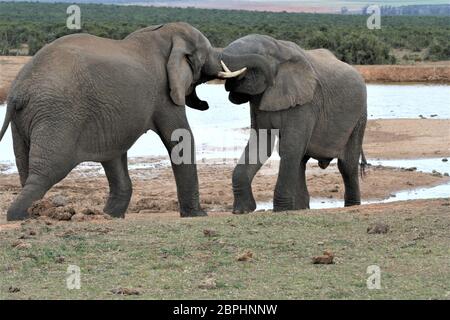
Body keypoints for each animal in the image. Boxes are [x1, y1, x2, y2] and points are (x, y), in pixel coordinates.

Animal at [0, 21, 244, 220]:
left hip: (25, 120)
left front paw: (111, 216)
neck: (165, 34)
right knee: (47, 171)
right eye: (208, 51)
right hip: (58, 115)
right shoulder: (163, 93)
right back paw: (21, 216)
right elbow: (180, 136)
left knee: (24, 166)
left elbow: (114, 154)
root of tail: (18, 91)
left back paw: (36, 212)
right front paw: (197, 215)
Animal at [219, 34, 370, 212]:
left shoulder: (306, 102)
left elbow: (289, 147)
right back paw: (301, 209)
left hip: (360, 115)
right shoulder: (257, 103)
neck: (279, 48)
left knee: (347, 165)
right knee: (301, 161)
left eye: (260, 54)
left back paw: (351, 206)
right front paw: (242, 211)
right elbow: (261, 144)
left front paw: (280, 210)